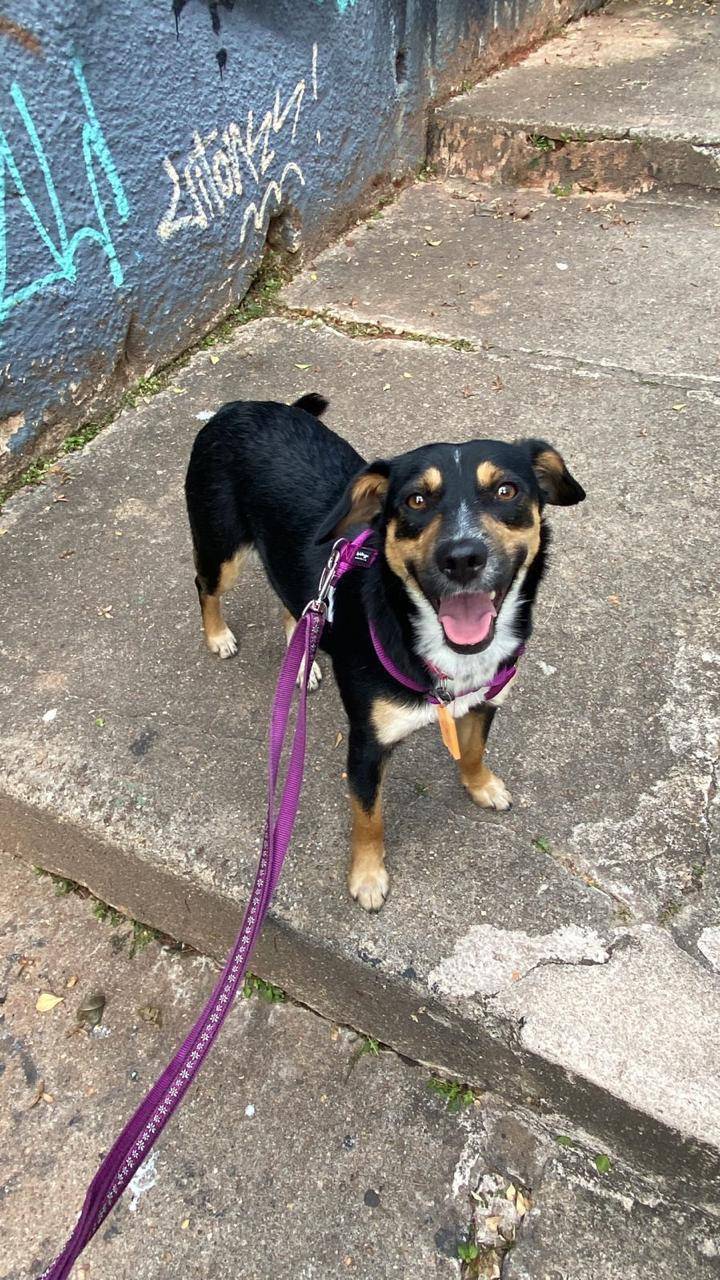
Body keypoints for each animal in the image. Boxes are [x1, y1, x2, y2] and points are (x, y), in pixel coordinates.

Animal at [185, 393, 585, 910]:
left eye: (506, 491)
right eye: (416, 500)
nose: (462, 558)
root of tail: (238, 405)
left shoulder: (485, 701)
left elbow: (474, 750)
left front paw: (482, 785)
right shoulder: (366, 747)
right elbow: (368, 817)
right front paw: (368, 876)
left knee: (297, 602)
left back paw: (305, 656)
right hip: (222, 547)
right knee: (206, 585)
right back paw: (218, 635)